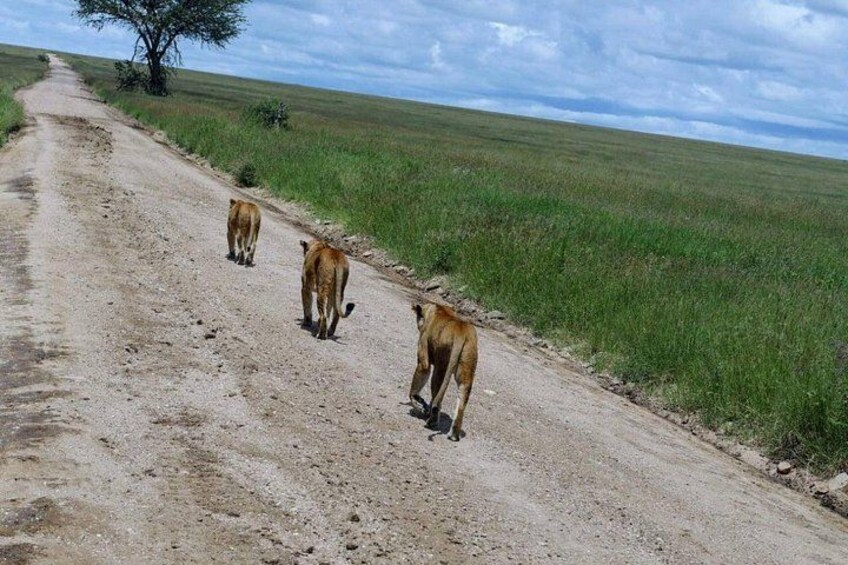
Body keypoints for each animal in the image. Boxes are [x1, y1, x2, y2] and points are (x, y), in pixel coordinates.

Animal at [409, 303, 478, 441]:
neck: (440, 309)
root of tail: (461, 331)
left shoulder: (423, 359)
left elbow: (415, 387)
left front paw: (419, 404)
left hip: (441, 365)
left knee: (437, 395)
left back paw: (432, 420)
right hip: (467, 365)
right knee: (462, 396)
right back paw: (453, 434)